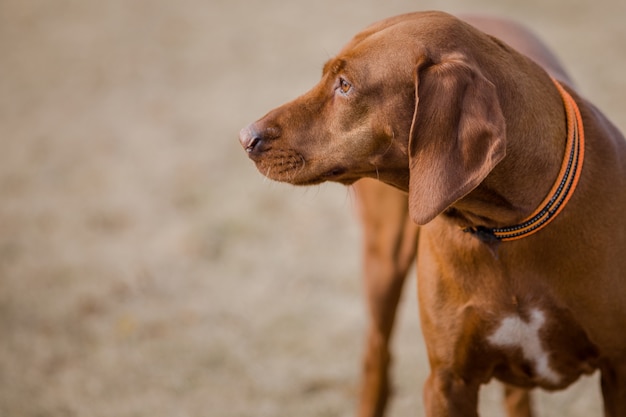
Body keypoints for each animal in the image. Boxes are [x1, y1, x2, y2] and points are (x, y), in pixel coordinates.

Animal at [236, 11, 624, 414]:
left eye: (344, 85)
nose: (245, 138)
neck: (503, 228)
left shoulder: (619, 371)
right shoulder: (447, 382)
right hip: (384, 262)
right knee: (377, 357)